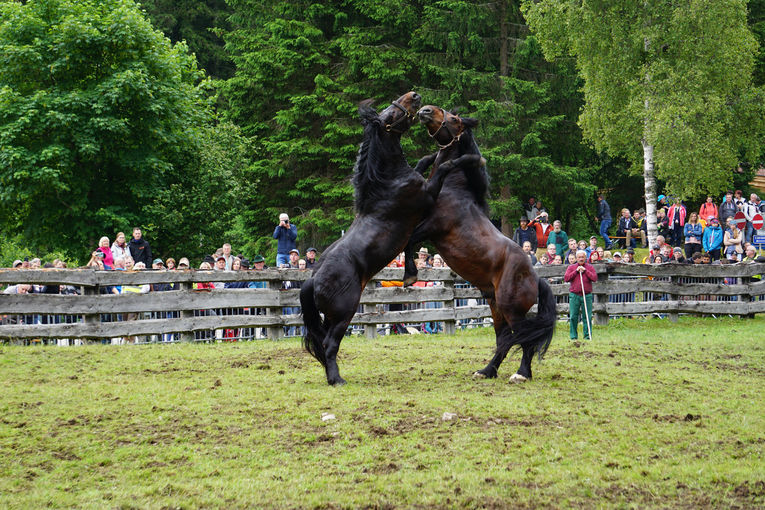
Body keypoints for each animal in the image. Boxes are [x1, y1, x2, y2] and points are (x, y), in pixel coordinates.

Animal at [300, 92, 474, 386]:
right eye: (391, 114)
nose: (415, 97)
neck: (389, 183)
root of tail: (312, 280)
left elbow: (424, 162)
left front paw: (432, 153)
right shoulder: (427, 193)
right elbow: (443, 168)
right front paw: (462, 159)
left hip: (330, 318)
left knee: (323, 343)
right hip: (343, 314)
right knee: (329, 344)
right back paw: (337, 379)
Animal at [400, 106, 556, 382]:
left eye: (454, 119)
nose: (425, 110)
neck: (452, 189)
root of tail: (536, 278)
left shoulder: (432, 227)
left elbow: (409, 243)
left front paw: (409, 275)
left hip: (511, 309)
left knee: (524, 339)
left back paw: (521, 374)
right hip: (496, 308)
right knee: (504, 340)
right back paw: (487, 371)